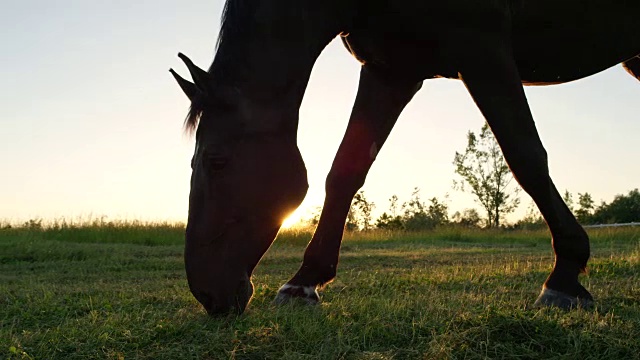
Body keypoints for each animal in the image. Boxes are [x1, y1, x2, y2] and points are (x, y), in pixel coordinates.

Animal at [170, 0, 640, 316]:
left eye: (216, 162)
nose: (207, 294)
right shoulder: (391, 69)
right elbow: (346, 170)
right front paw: (305, 282)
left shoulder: (481, 48)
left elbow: (525, 157)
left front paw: (565, 277)